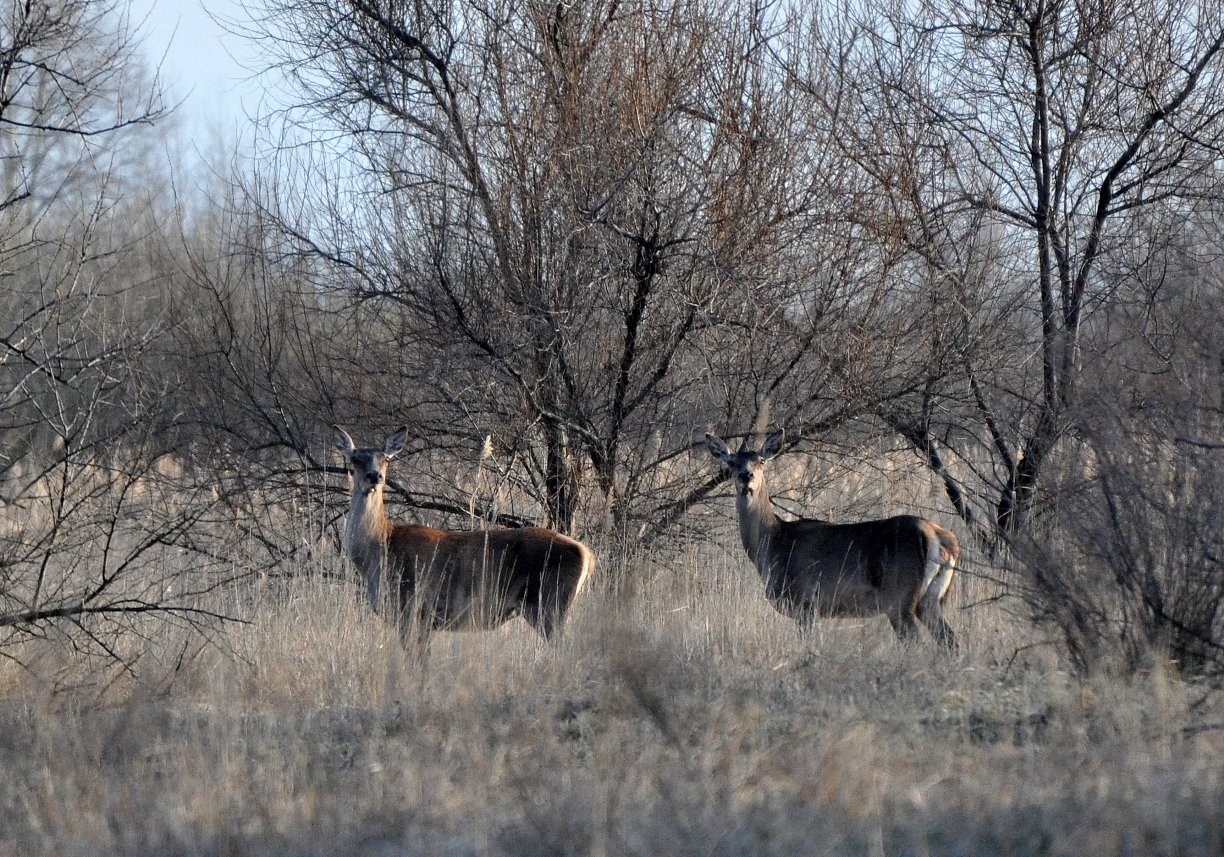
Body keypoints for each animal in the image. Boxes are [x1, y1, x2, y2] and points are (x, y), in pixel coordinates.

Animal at [335, 426, 592, 646]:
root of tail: (587, 554)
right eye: (355, 458)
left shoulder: (414, 610)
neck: (380, 548)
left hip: (550, 604)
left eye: (386, 458)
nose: (375, 475)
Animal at [709, 430, 954, 646]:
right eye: (731, 462)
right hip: (931, 599)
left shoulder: (805, 601)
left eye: (761, 460)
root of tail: (938, 535)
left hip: (898, 596)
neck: (772, 544)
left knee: (917, 643)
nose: (746, 476)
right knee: (950, 641)